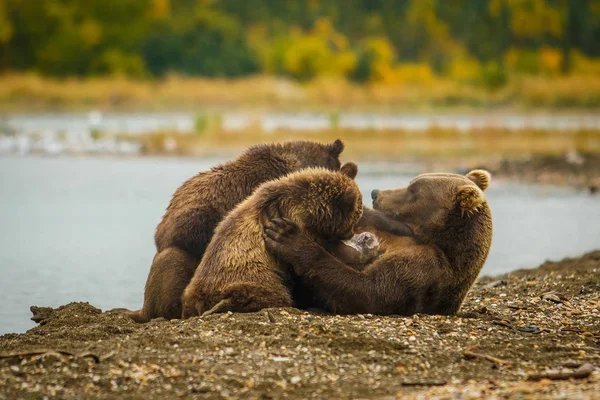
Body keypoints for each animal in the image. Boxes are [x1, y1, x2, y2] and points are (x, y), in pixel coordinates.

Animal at [264, 169, 494, 316]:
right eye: (411, 183)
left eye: (414, 191)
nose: (376, 193)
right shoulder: (388, 229)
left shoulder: (423, 268)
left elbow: (366, 290)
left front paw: (286, 236)